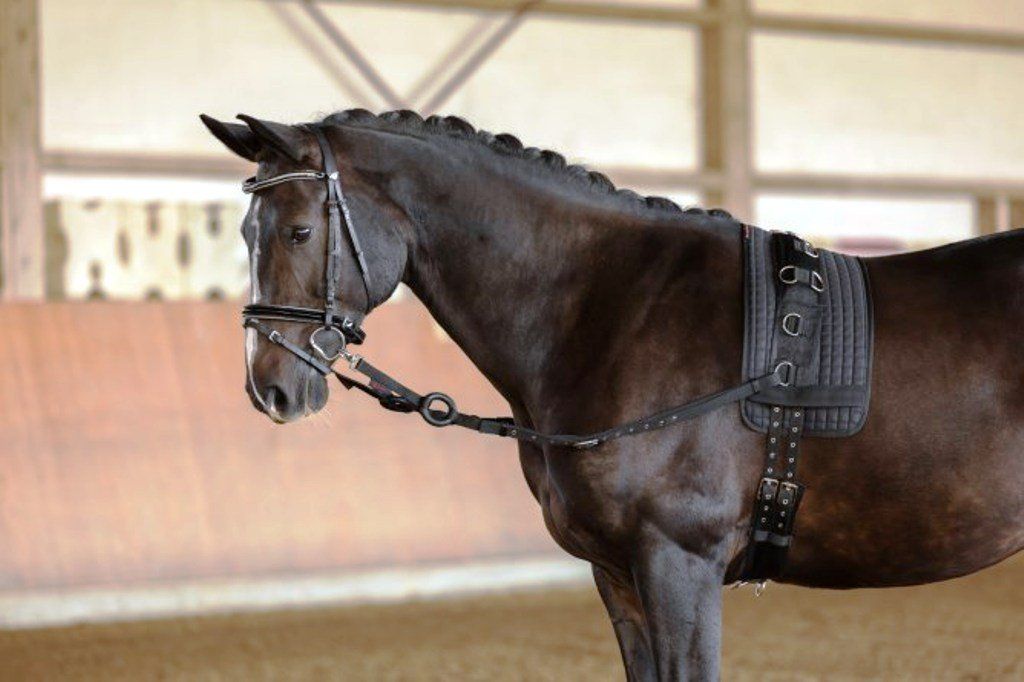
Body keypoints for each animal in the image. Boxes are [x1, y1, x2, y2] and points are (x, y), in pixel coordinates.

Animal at [201, 109, 1024, 681]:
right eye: (243, 232)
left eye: (300, 231)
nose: (269, 387)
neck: (611, 307)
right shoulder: (619, 573)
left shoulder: (679, 562)